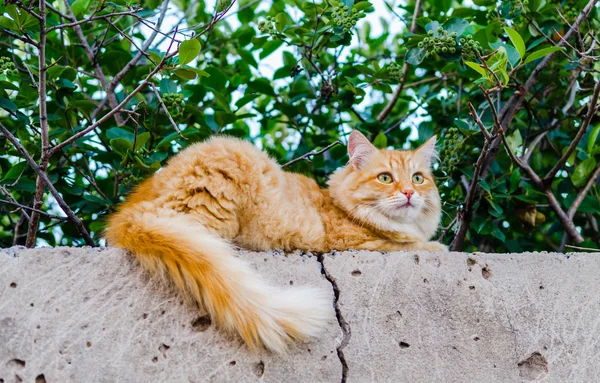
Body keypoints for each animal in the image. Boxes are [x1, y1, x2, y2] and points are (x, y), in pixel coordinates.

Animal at [105, 131, 446, 354]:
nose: (409, 193)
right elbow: (421, 246)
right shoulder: (357, 243)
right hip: (228, 168)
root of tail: (131, 213)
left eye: (418, 178)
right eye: (385, 178)